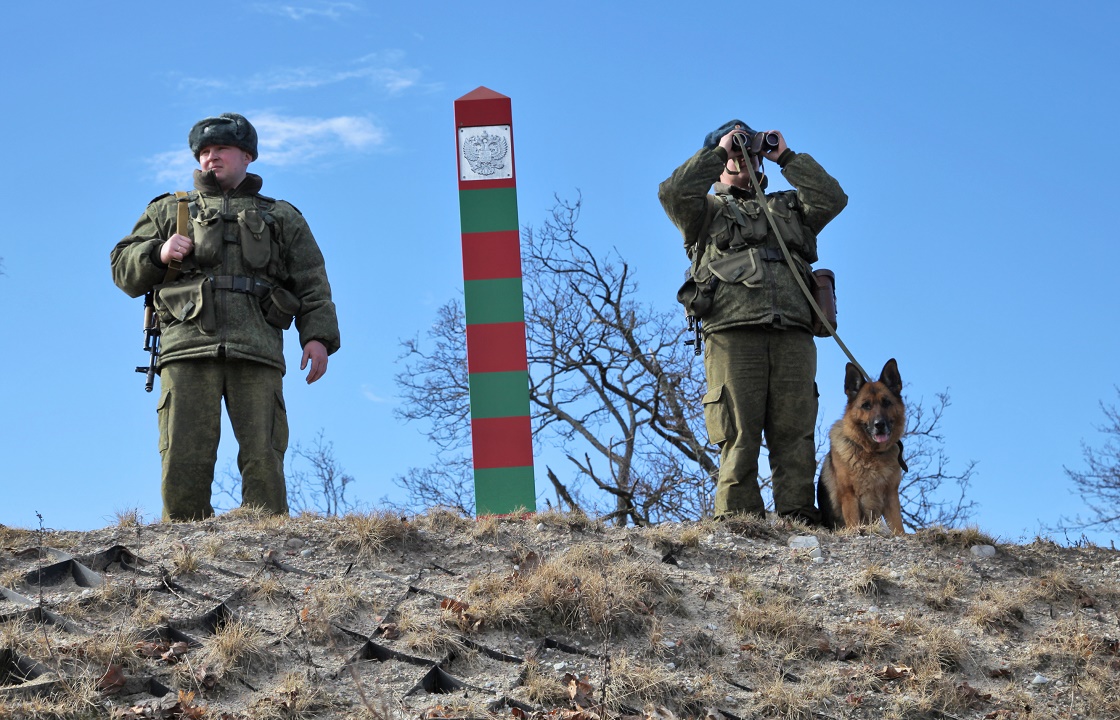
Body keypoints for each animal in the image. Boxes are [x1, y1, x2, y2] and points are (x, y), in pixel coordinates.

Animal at [815, 360, 909, 535]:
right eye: (866, 405)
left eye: (886, 402)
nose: (879, 425)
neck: (872, 453)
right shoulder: (849, 496)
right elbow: (853, 523)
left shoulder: (891, 496)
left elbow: (898, 526)